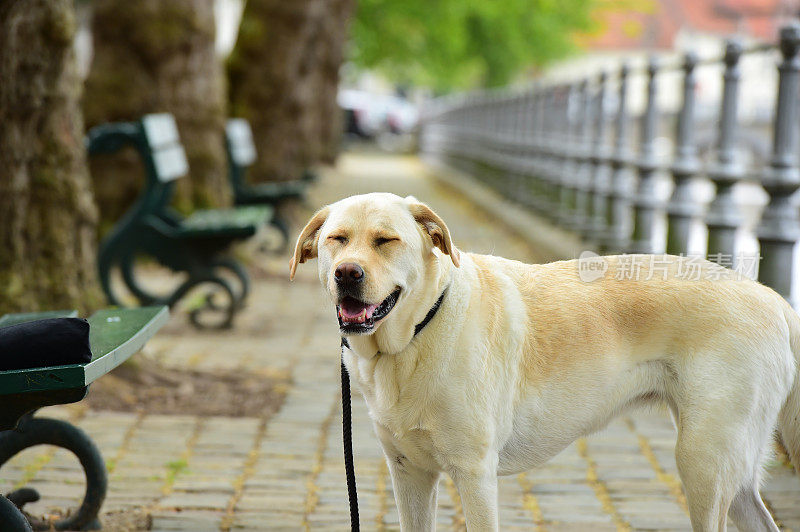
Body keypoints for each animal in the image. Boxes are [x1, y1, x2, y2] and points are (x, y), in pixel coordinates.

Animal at [290, 192, 800, 532]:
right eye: (337, 240)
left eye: (385, 241)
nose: (347, 274)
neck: (413, 336)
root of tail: (772, 297)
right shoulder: (408, 473)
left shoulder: (474, 474)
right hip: (729, 468)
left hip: (704, 462)